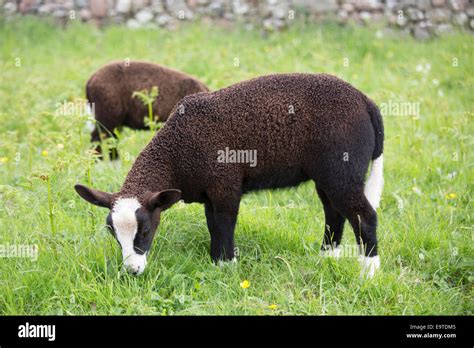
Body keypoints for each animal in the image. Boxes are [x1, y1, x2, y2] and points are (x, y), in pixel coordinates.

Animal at [75, 72, 386, 278]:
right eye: (113, 233)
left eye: (146, 230)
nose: (132, 271)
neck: (177, 153)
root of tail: (366, 102)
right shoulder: (208, 192)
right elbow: (213, 225)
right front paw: (216, 261)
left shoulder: (224, 184)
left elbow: (225, 223)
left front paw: (227, 264)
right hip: (328, 174)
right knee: (334, 212)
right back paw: (328, 256)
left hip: (342, 169)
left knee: (364, 216)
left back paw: (369, 272)